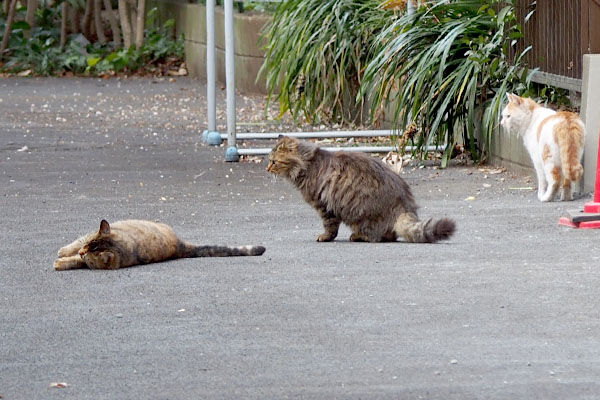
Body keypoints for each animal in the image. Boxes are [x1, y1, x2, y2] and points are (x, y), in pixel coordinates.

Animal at [53, 219, 264, 272]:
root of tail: (181, 245)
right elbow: (77, 242)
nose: (82, 252)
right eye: (87, 247)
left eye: (88, 256)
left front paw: (62, 262)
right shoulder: (85, 238)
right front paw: (65, 252)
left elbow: (74, 261)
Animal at [268, 137, 454, 244]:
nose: (267, 169)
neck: (308, 163)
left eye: (274, 161)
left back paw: (357, 236)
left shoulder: (324, 205)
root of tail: (404, 206)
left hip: (360, 213)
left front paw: (325, 237)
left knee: (377, 236)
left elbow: (330, 226)